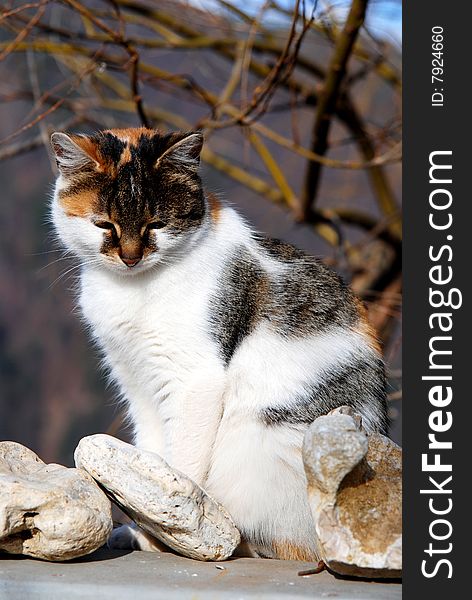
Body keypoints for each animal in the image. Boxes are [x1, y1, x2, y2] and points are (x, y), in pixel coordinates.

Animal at [49, 127, 388, 564]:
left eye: (157, 224)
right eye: (104, 225)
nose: (130, 258)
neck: (132, 288)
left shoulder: (195, 380)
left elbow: (182, 468)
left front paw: (161, 536)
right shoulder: (137, 382)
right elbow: (153, 457)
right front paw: (142, 528)